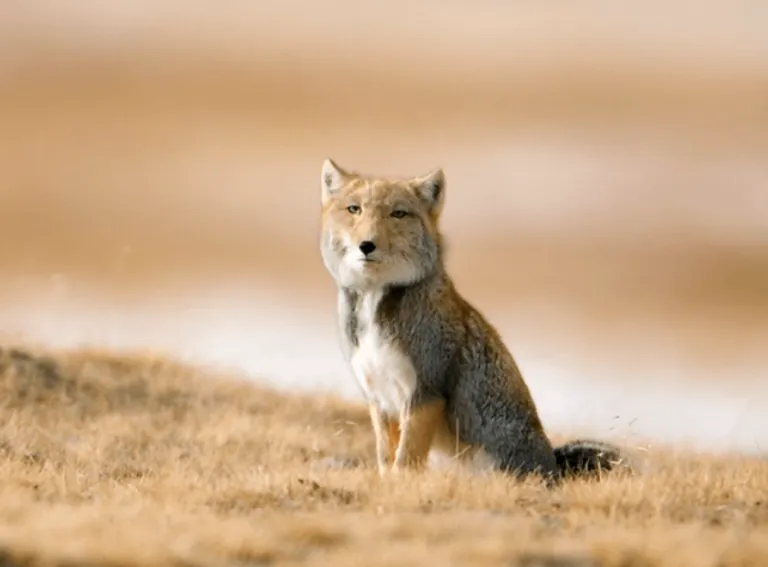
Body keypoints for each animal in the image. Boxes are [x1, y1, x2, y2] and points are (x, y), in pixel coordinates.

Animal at [319, 158, 627, 482]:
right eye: (354, 209)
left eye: (398, 213)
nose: (367, 245)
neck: (374, 305)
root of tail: (553, 467)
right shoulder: (379, 398)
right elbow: (385, 457)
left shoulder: (425, 391)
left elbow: (406, 459)